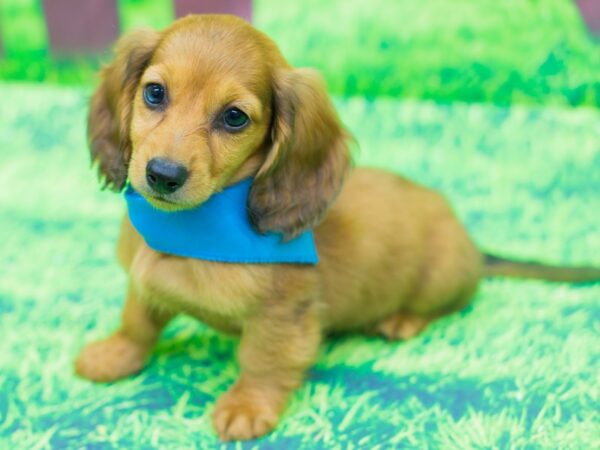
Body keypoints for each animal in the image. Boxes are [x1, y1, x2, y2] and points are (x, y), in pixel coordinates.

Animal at [75, 13, 600, 440]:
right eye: (154, 92)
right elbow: (137, 320)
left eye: (234, 117)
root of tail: (475, 247)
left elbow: (262, 358)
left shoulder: (283, 316)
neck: (195, 231)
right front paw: (116, 354)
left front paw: (248, 405)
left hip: (438, 283)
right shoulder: (144, 283)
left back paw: (402, 319)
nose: (162, 175)